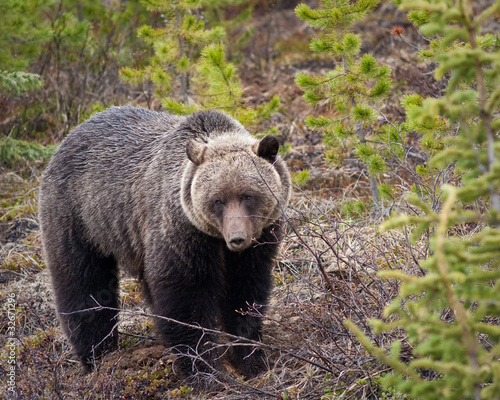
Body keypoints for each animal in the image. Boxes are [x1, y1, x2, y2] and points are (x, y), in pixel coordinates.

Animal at [39, 105, 292, 382]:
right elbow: (185, 298)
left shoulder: (260, 241)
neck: (216, 241)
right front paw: (205, 369)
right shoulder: (182, 234)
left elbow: (245, 293)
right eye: (217, 200)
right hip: (79, 218)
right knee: (83, 284)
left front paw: (252, 358)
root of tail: (72, 134)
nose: (237, 238)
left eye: (248, 196)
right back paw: (98, 355)